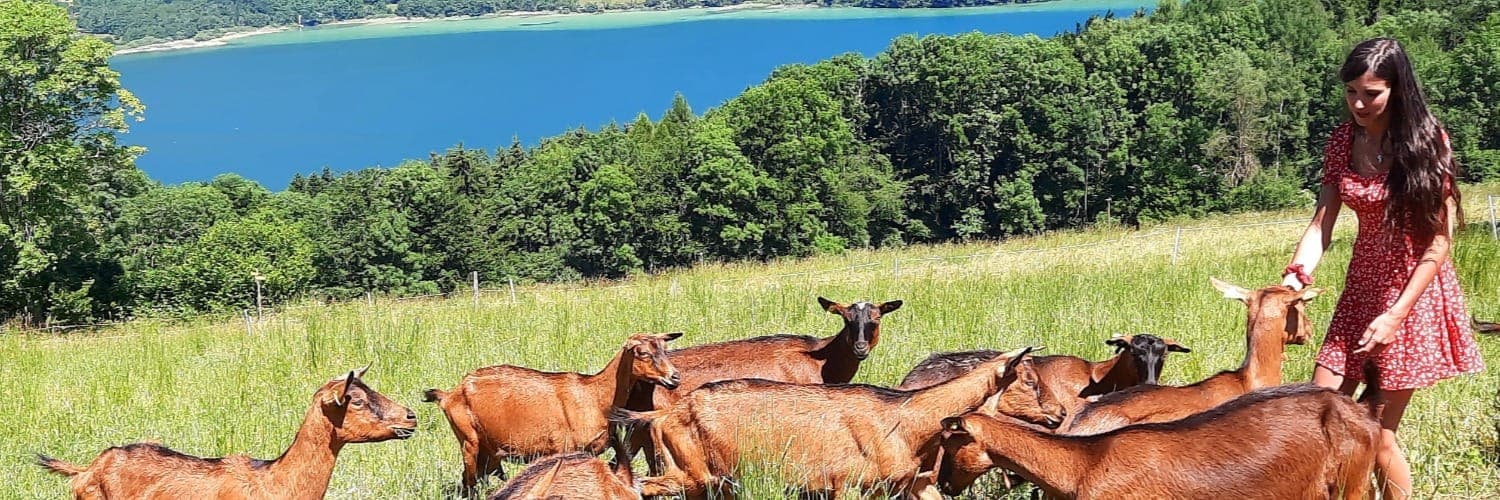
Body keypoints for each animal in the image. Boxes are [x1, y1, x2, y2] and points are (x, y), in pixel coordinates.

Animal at [424, 332, 682, 494]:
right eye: (643, 353)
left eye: (664, 349)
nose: (674, 377)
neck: (595, 395)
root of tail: (450, 394)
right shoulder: (564, 448)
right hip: (469, 442)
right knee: (469, 483)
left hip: (488, 451)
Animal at [613, 346, 1040, 499]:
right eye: (1029, 381)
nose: (1052, 415)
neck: (905, 420)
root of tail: (665, 413)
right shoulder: (846, 486)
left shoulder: (909, 485)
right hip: (686, 471)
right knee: (638, 485)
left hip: (711, 482)